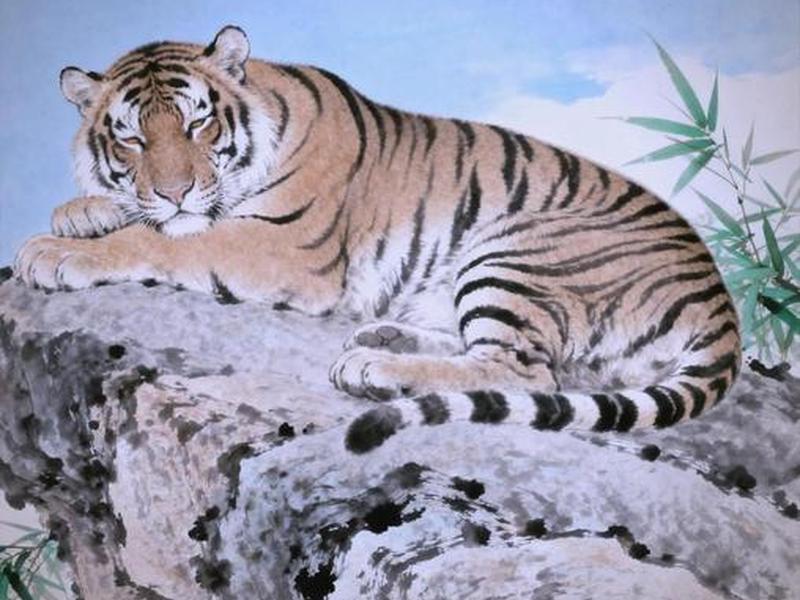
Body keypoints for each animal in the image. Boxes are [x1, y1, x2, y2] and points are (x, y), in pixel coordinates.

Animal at [14, 26, 741, 453]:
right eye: (132, 138)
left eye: (197, 125)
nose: (175, 191)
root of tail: (724, 307)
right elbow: (139, 217)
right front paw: (78, 211)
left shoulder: (284, 248)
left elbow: (168, 243)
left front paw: (57, 252)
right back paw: (383, 336)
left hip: (516, 252)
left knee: (525, 369)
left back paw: (372, 366)